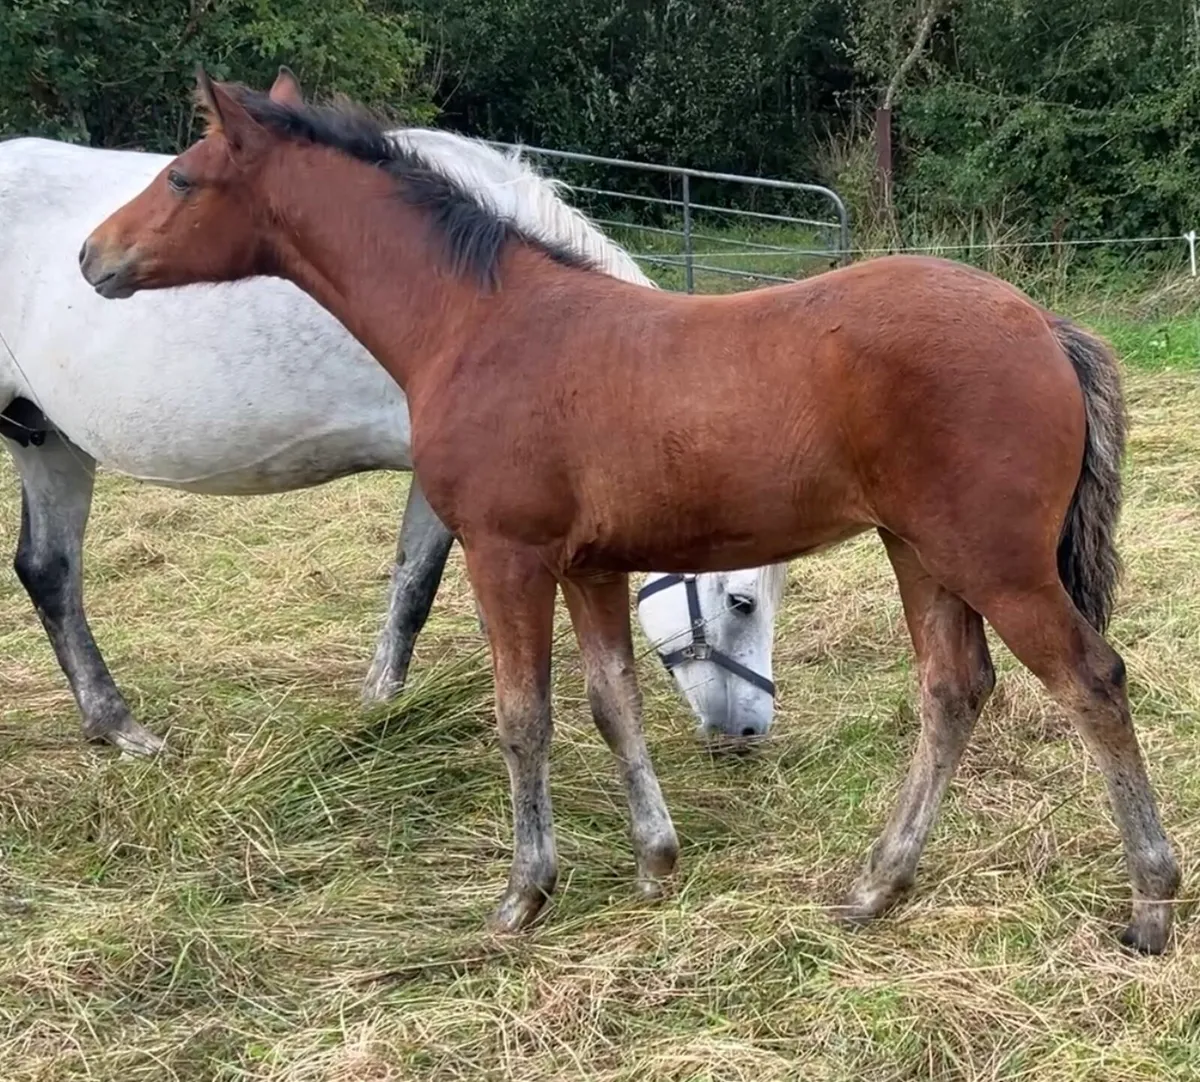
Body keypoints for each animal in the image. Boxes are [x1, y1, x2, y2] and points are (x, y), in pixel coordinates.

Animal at [0, 77, 784, 757]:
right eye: (742, 602)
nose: (748, 731)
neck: (481, 303)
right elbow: (419, 591)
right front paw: (384, 710)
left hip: (49, 440)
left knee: (49, 572)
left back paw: (115, 726)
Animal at [78, 70, 1179, 953]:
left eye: (181, 178)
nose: (94, 258)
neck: (480, 323)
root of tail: (1040, 321)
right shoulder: (588, 565)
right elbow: (614, 703)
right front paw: (656, 862)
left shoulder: (507, 555)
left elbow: (524, 714)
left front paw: (524, 893)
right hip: (922, 552)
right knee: (954, 690)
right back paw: (878, 884)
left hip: (993, 558)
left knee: (1090, 679)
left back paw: (1150, 901)